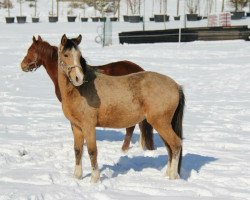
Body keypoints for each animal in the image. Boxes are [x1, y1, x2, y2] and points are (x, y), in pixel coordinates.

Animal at [57, 34, 185, 183]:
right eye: (66, 55)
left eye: (79, 55)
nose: (79, 78)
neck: (79, 90)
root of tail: (176, 86)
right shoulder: (76, 126)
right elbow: (78, 150)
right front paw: (77, 177)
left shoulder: (88, 126)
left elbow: (92, 151)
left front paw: (95, 179)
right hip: (163, 124)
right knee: (169, 147)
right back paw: (167, 174)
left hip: (161, 123)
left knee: (176, 144)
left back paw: (173, 176)